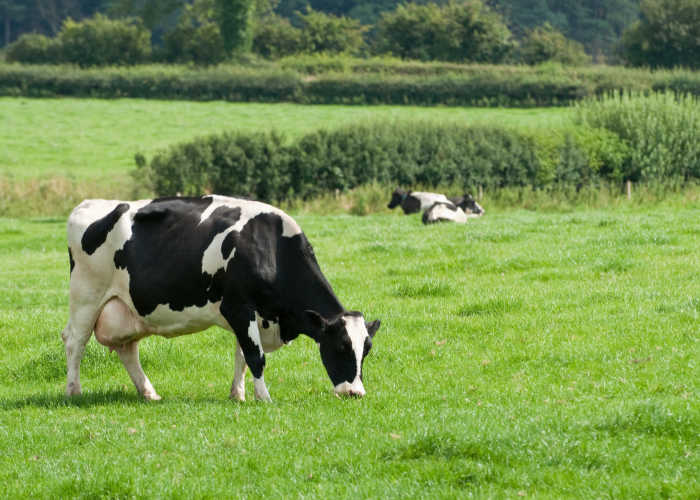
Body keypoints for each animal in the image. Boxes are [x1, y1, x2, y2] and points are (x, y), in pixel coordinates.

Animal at [62, 195, 381, 402]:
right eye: (340, 347)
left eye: (366, 350)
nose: (355, 393)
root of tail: (87, 203)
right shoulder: (237, 306)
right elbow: (256, 357)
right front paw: (264, 398)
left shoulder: (251, 315)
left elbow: (242, 354)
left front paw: (238, 394)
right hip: (86, 295)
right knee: (75, 341)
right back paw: (73, 391)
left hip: (127, 308)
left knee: (128, 350)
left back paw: (149, 393)